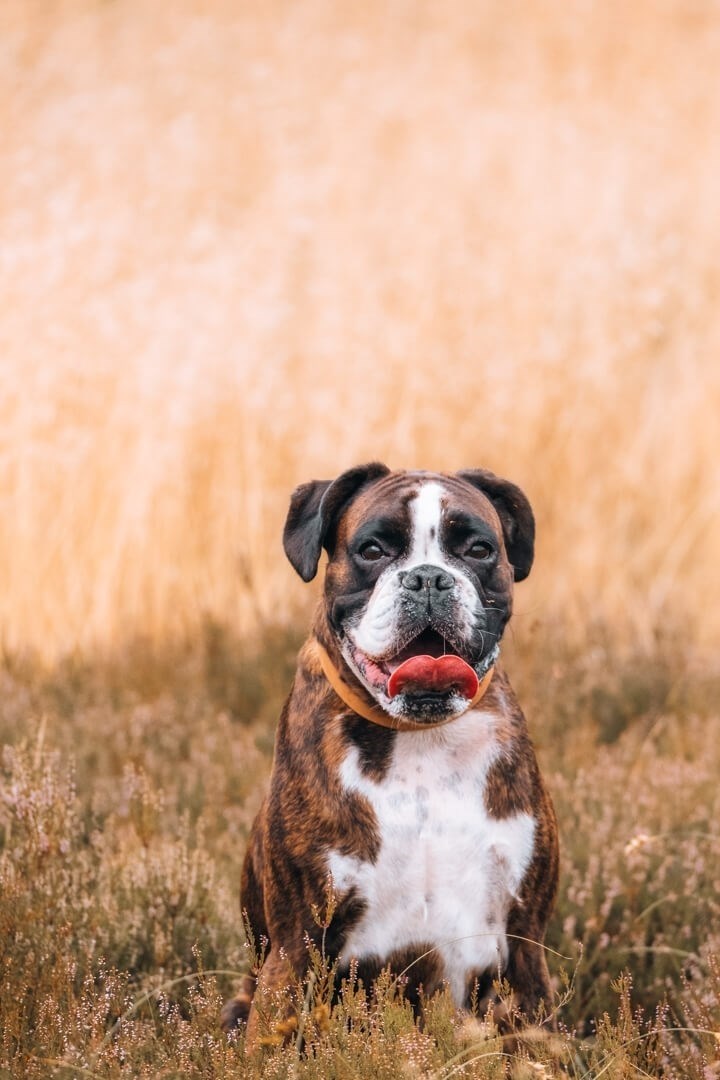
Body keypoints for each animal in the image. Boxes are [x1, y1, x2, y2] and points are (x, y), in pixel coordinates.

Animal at [221, 464, 558, 1047]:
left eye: (479, 549)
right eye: (373, 549)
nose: (427, 578)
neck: (420, 740)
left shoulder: (523, 944)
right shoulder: (295, 945)